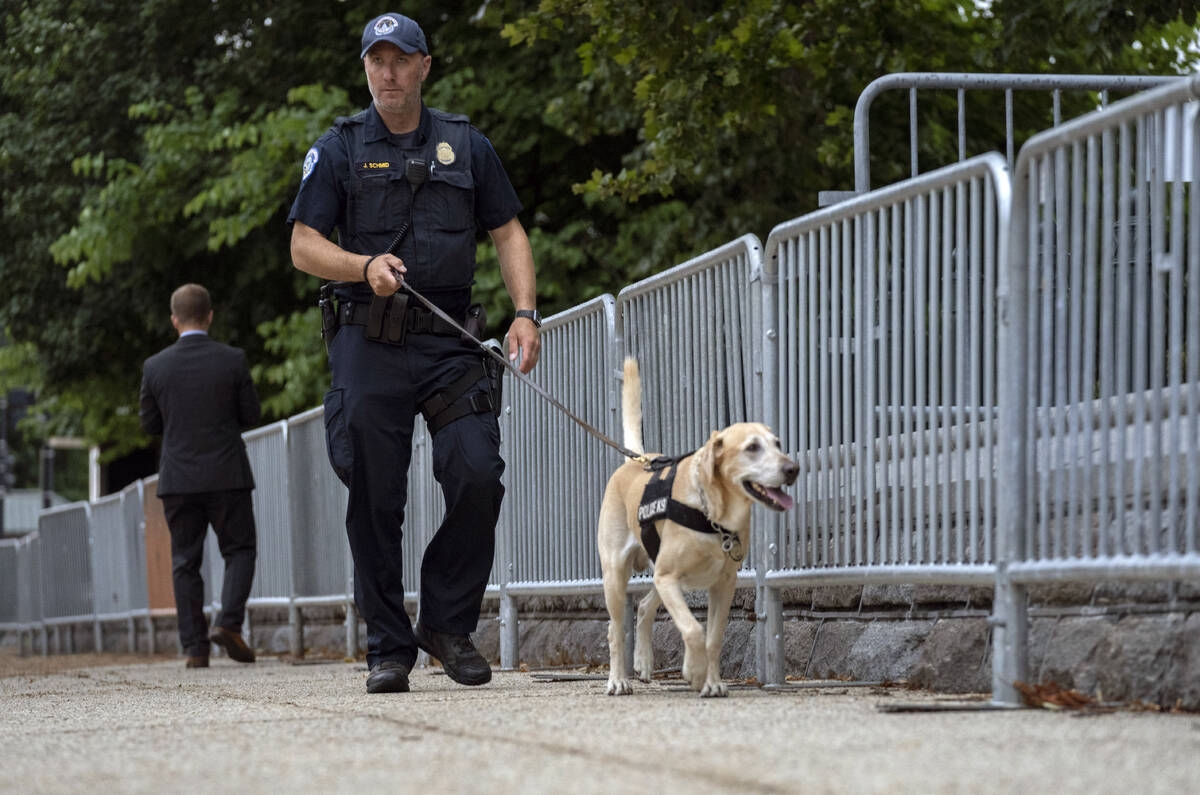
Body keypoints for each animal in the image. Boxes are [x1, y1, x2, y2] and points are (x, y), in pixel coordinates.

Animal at [597, 357, 796, 701]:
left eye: (778, 444)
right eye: (752, 447)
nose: (792, 468)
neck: (713, 516)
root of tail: (636, 460)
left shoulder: (722, 585)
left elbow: (713, 636)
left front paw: (712, 681)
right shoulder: (669, 578)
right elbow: (693, 629)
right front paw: (694, 671)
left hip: (660, 573)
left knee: (645, 607)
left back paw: (644, 662)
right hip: (617, 575)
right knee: (614, 628)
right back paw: (618, 680)